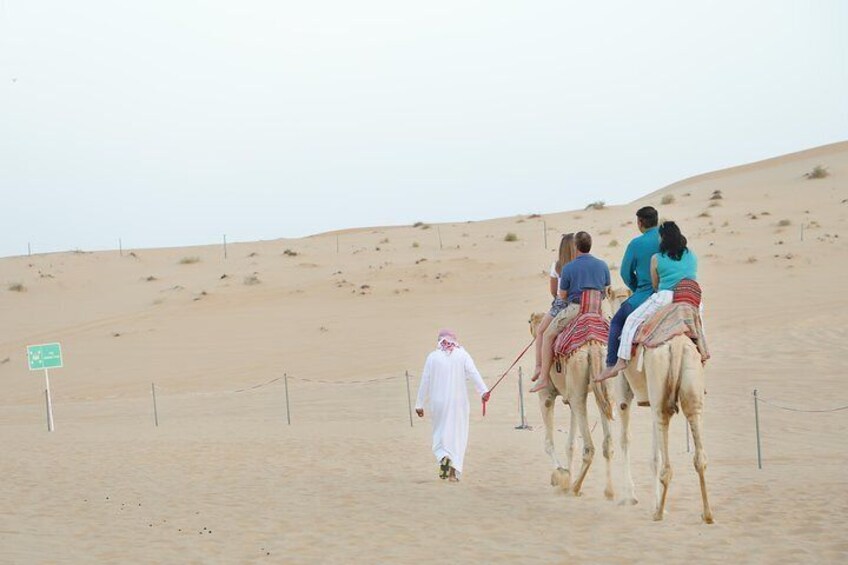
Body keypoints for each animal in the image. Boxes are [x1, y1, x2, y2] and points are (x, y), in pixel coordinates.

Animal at [528, 290, 612, 498]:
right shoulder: (570, 396)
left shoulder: (546, 396)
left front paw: (560, 475)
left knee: (589, 447)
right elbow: (570, 444)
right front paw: (566, 474)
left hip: (577, 385)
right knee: (608, 442)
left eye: (529, 322)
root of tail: (593, 346)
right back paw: (611, 492)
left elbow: (548, 443)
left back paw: (575, 487)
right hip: (601, 387)